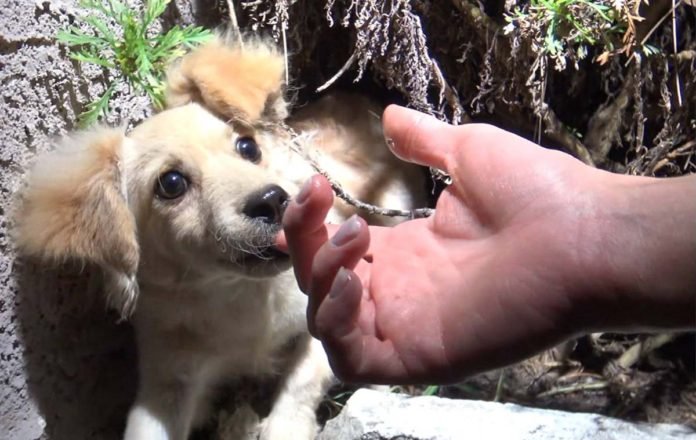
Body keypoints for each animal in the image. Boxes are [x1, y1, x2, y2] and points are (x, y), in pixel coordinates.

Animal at [13, 37, 426, 440]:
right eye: (171, 184)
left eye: (248, 147)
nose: (272, 200)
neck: (243, 297)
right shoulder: (169, 379)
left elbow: (301, 383)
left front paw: (285, 428)